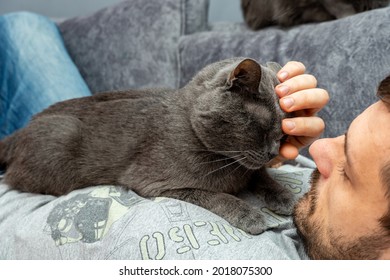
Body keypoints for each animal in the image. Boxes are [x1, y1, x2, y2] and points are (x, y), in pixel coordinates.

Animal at [0, 58, 292, 235]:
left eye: (283, 134)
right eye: (262, 127)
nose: (273, 153)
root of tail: (21, 129)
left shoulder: (248, 169)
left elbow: (260, 175)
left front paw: (284, 196)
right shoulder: (157, 183)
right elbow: (215, 195)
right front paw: (249, 215)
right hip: (61, 144)